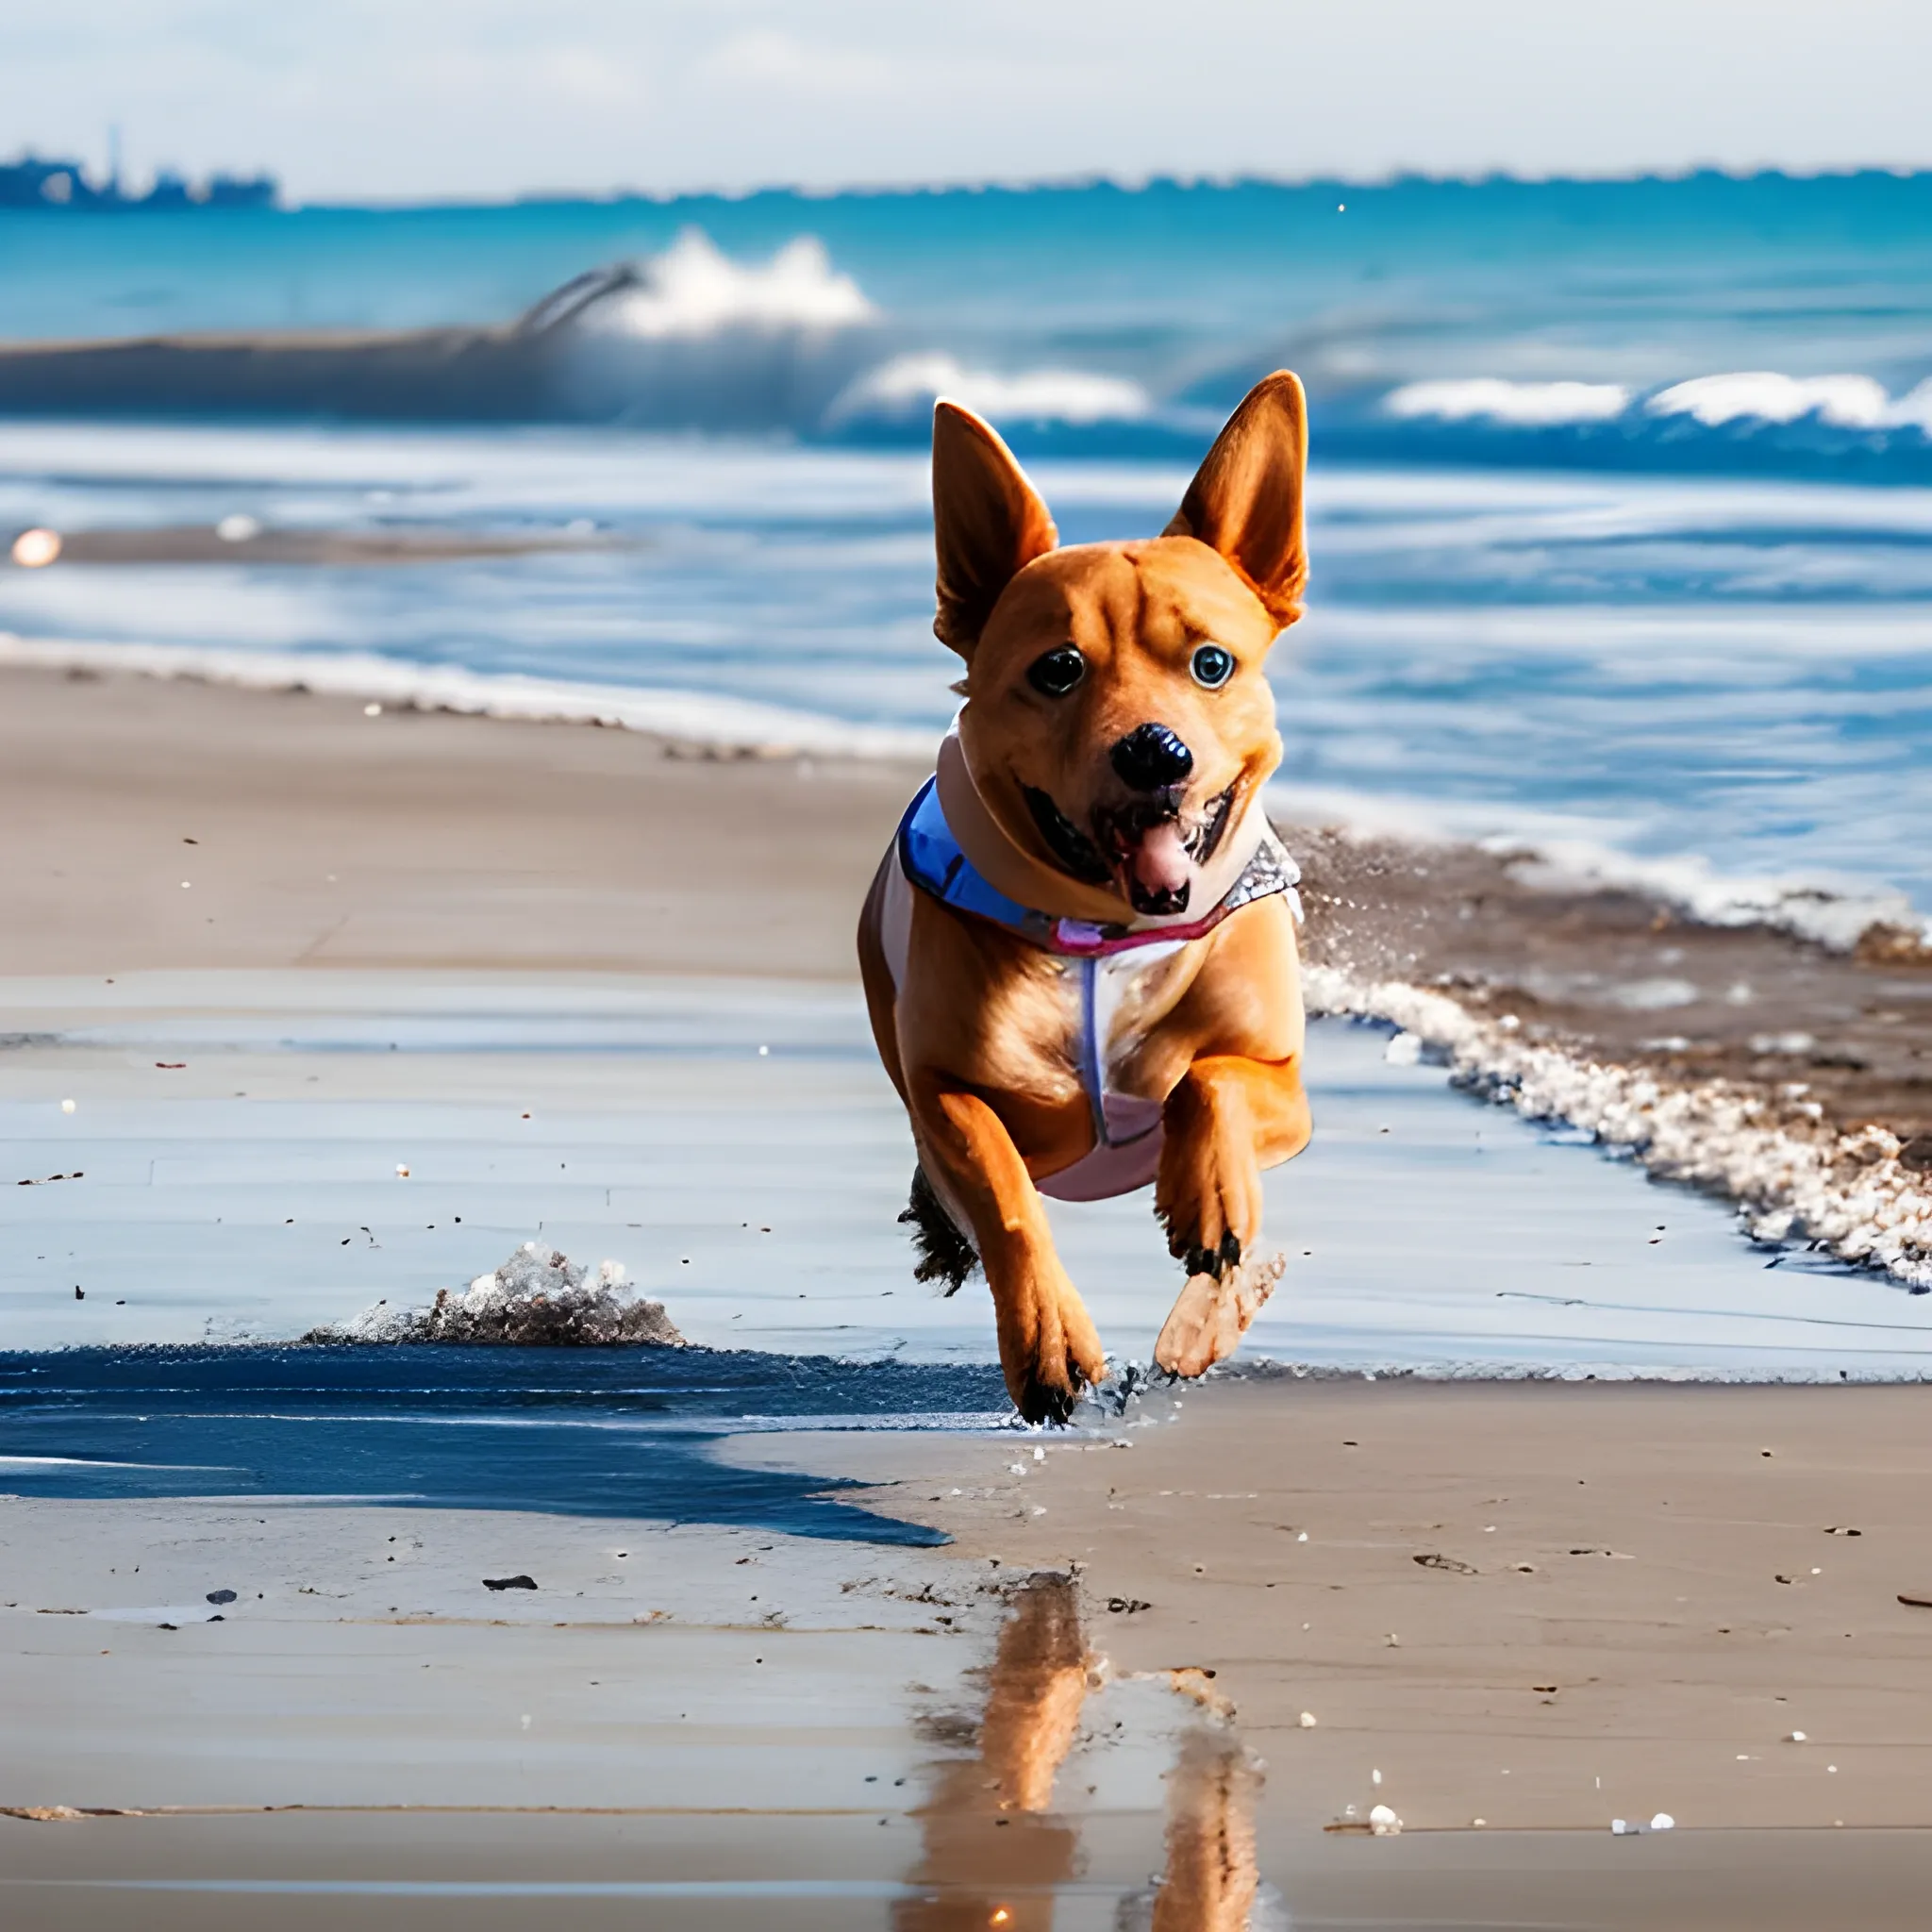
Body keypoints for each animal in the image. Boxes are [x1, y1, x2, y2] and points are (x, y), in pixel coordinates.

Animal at [861, 369, 1313, 1422]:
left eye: (1212, 663)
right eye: (1058, 668)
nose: (1156, 752)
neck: (1108, 935)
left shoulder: (1284, 1080)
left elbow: (1213, 1079)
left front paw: (1210, 1196)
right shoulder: (950, 1088)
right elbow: (1000, 1188)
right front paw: (1049, 1340)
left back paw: (1204, 1320)